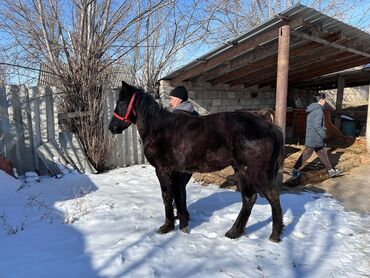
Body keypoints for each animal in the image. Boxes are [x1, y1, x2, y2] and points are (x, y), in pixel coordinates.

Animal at [108, 80, 284, 241]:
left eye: (121, 103)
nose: (111, 127)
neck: (159, 128)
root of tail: (269, 127)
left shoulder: (163, 170)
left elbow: (167, 196)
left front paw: (167, 226)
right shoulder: (177, 172)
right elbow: (178, 195)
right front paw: (183, 224)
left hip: (254, 172)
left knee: (273, 195)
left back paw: (275, 235)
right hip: (241, 170)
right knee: (249, 199)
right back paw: (234, 232)